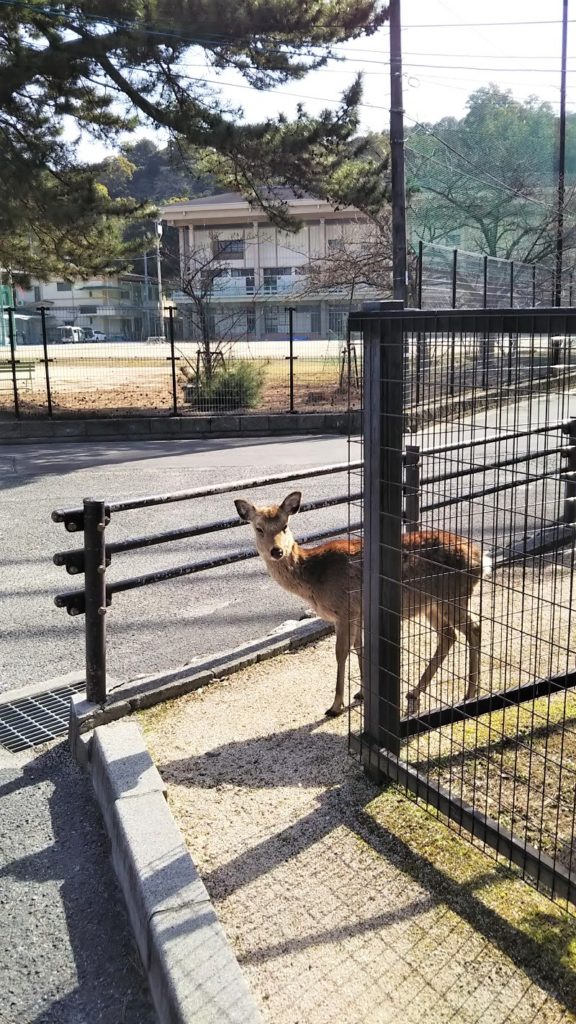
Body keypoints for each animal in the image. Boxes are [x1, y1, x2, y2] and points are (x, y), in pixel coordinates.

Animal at [234, 491, 490, 718]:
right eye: (258, 528)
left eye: (285, 525)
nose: (277, 550)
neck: (314, 579)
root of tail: (482, 559)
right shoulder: (358, 611)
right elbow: (360, 647)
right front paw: (362, 693)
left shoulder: (344, 610)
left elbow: (341, 652)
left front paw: (335, 706)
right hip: (432, 604)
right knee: (448, 635)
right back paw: (414, 693)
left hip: (453, 596)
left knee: (474, 629)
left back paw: (470, 692)